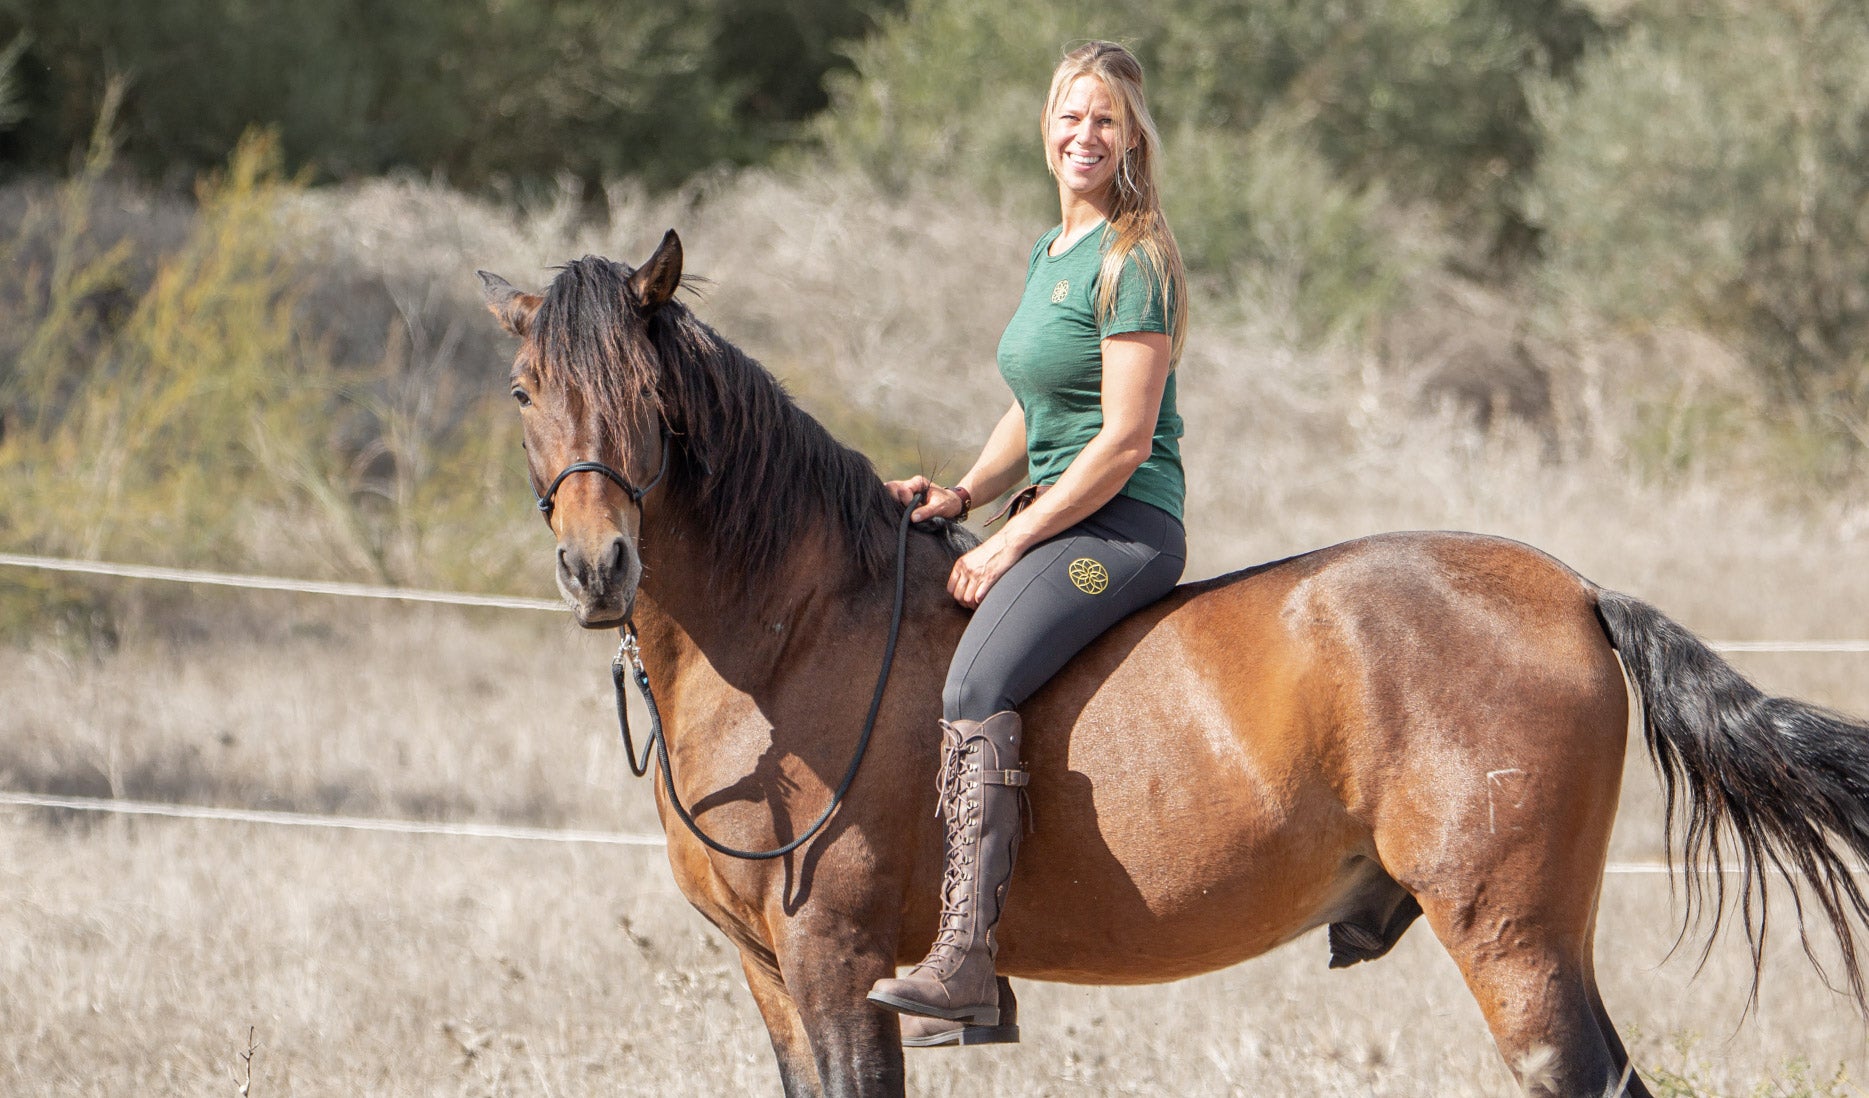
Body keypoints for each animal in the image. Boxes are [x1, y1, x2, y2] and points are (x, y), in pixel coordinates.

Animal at [478, 233, 1869, 1098]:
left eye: (649, 389)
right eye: (525, 388)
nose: (597, 568)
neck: (796, 632)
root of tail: (1573, 591)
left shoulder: (838, 964)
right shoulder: (770, 977)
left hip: (1512, 938)